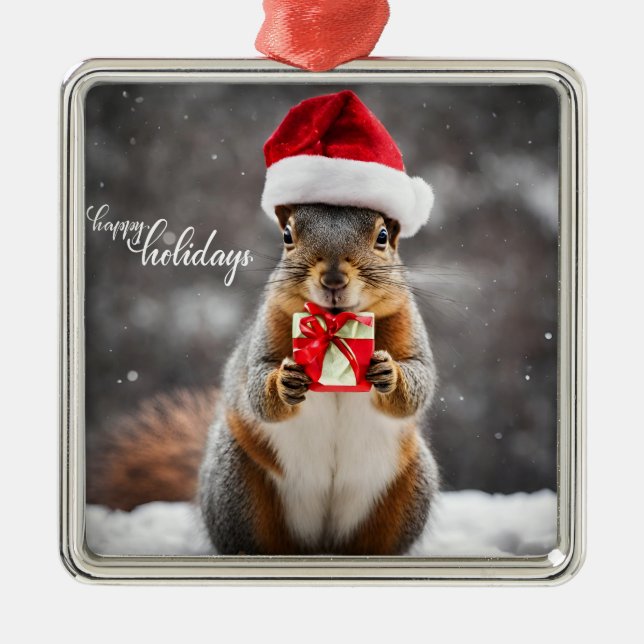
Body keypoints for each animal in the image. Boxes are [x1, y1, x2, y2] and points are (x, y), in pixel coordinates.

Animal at [87, 90, 440, 556]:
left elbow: (420, 379)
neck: (334, 324)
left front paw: (389, 373)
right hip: (238, 487)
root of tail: (320, 545)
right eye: (287, 236)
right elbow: (257, 382)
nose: (332, 279)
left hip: (407, 489)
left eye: (383, 237)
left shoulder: (408, 326)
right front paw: (284, 382)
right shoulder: (268, 328)